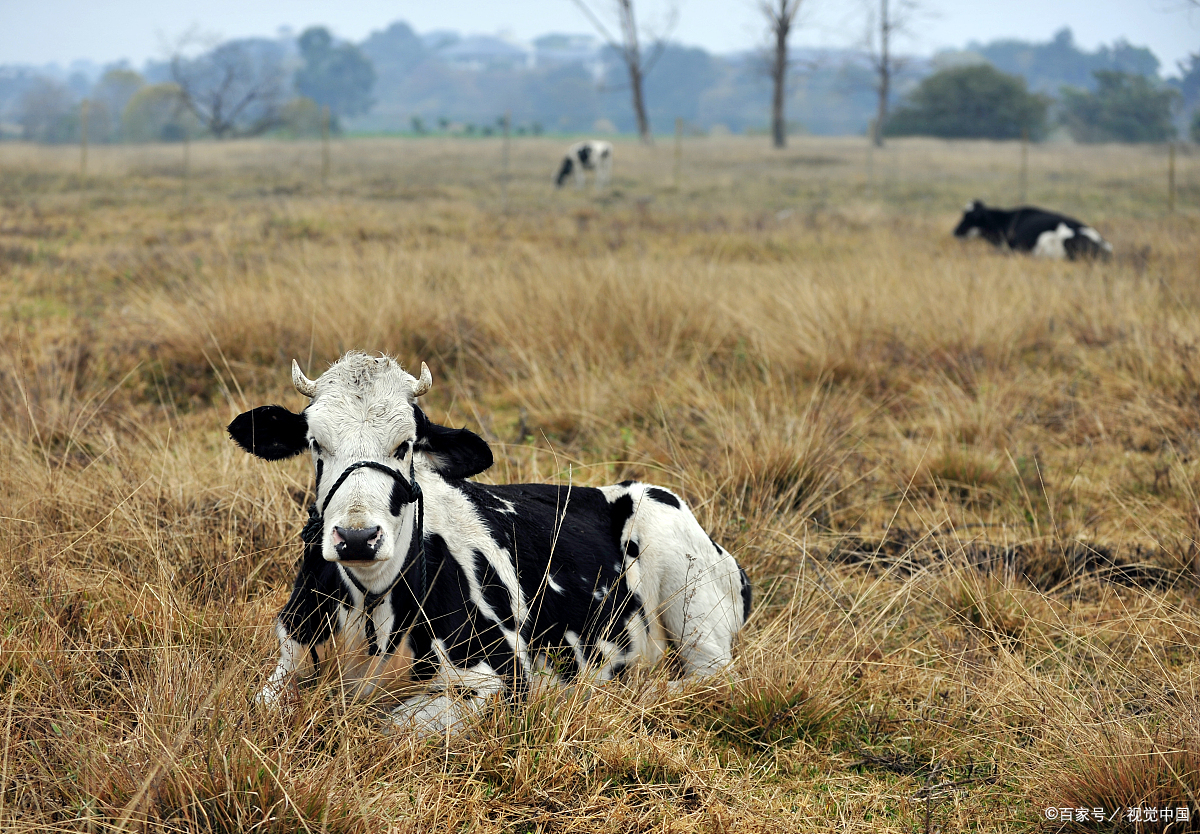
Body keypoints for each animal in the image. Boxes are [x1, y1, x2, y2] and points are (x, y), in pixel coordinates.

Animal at [226, 352, 748, 739]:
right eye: (316, 443)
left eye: (406, 445)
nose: (357, 537)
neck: (370, 609)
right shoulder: (289, 656)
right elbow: (260, 706)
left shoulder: (501, 676)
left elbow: (393, 725)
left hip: (694, 611)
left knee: (707, 677)